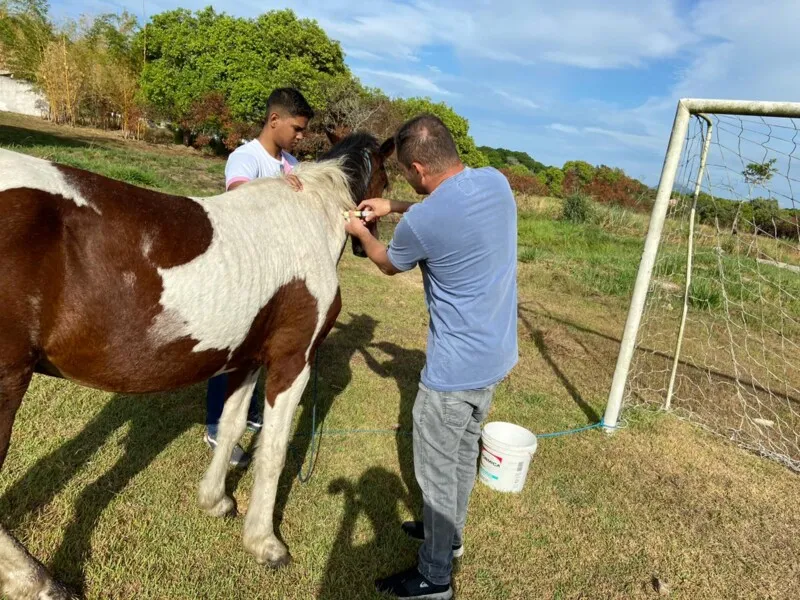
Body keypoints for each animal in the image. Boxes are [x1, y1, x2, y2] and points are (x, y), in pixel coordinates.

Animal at [0, 129, 396, 596]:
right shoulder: (292, 361)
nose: (368, 243)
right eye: (387, 180)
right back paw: (38, 581)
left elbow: (231, 424)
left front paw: (215, 500)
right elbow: (274, 450)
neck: (306, 220)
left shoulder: (247, 358)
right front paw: (264, 542)